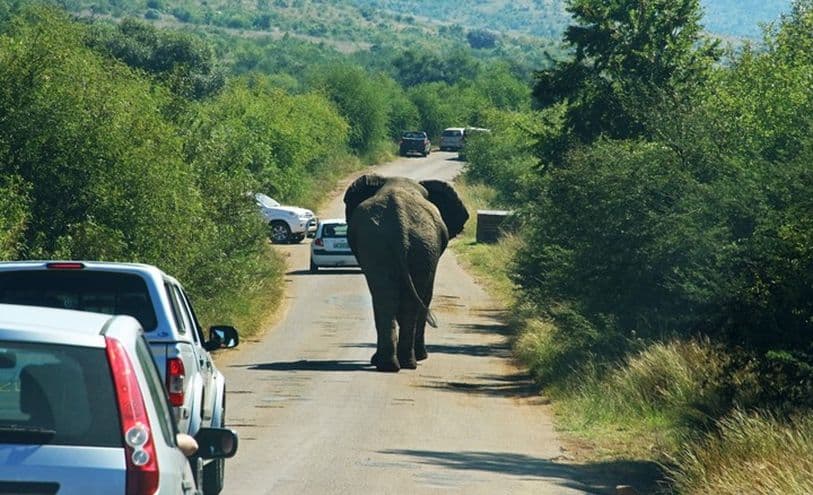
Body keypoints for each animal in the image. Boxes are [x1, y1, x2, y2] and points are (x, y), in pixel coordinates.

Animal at [343, 174, 469, 372]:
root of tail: (399, 225)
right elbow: (426, 296)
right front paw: (422, 356)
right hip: (416, 246)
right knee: (406, 301)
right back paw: (407, 362)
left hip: (387, 245)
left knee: (386, 298)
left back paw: (392, 365)